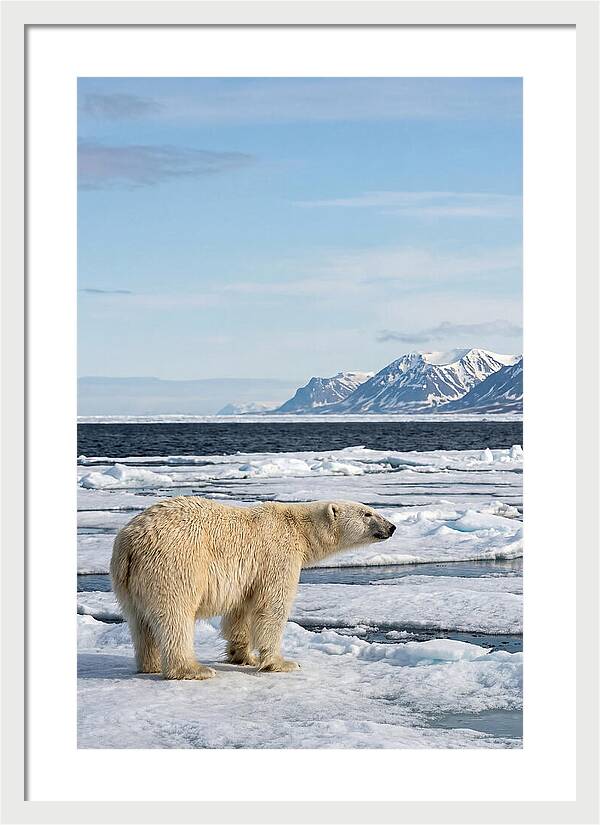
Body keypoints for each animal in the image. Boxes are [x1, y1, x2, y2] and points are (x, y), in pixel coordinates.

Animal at [110, 497, 396, 680]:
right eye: (368, 513)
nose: (392, 527)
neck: (299, 529)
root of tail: (130, 543)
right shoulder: (277, 555)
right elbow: (272, 607)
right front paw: (283, 662)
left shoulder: (249, 575)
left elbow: (241, 612)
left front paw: (243, 656)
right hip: (174, 564)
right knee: (175, 617)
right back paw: (193, 670)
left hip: (126, 581)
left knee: (139, 622)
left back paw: (149, 664)